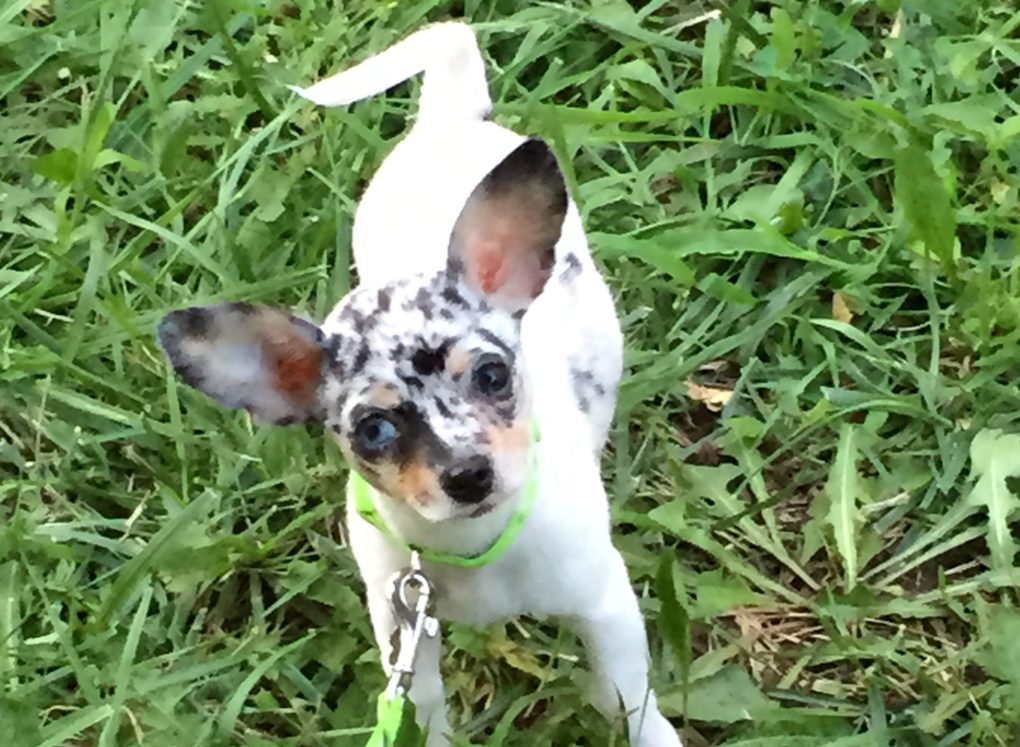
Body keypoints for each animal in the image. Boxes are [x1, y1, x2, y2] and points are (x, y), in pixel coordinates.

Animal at [159, 21, 681, 747]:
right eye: (374, 429)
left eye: (492, 375)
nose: (467, 474)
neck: (473, 546)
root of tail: (449, 119)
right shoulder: (404, 628)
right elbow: (424, 709)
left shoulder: (604, 605)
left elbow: (628, 698)